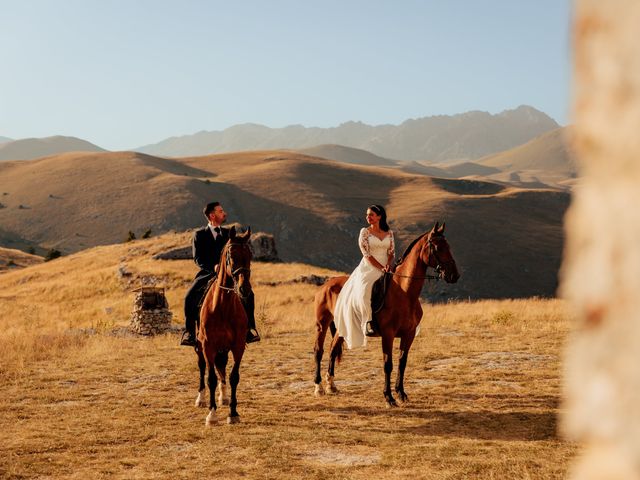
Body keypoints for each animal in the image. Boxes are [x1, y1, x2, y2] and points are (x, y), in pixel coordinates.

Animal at [195, 227, 252, 426]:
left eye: (250, 255)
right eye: (231, 256)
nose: (244, 289)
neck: (223, 306)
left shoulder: (238, 345)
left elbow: (234, 377)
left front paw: (233, 412)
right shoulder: (207, 345)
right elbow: (210, 378)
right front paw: (212, 415)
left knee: (222, 368)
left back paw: (224, 397)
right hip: (200, 346)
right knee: (203, 367)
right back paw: (201, 399)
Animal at [312, 223, 458, 406]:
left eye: (449, 246)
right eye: (438, 248)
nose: (454, 275)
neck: (404, 292)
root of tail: (327, 283)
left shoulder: (409, 334)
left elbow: (402, 362)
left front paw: (401, 393)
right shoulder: (388, 334)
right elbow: (388, 364)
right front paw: (389, 397)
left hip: (342, 327)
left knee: (332, 349)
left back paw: (331, 386)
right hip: (322, 324)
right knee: (319, 350)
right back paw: (318, 387)